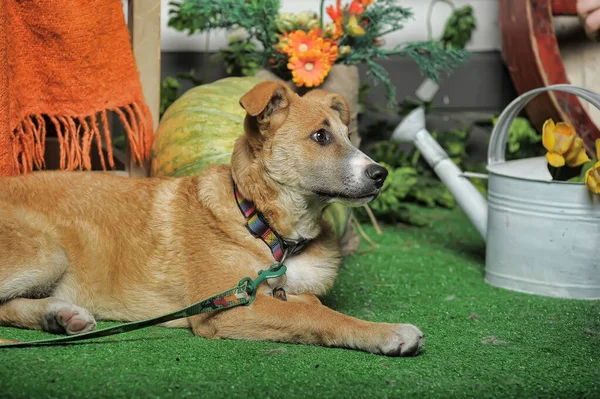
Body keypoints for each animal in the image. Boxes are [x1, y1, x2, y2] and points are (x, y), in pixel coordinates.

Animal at [0, 82, 424, 356]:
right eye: (320, 137)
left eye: (347, 135)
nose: (381, 174)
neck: (263, 225)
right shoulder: (227, 309)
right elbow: (317, 315)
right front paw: (388, 332)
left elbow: (310, 304)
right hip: (46, 251)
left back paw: (59, 317)